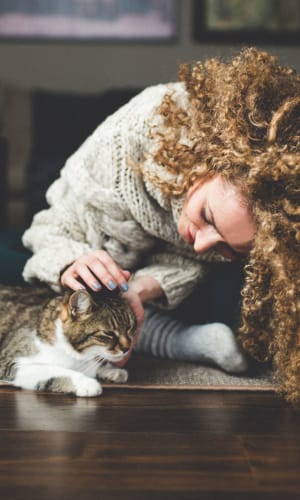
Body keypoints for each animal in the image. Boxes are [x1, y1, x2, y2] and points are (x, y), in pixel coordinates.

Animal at [0, 286, 137, 398]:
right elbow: (53, 370)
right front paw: (86, 383)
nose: (127, 348)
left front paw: (111, 370)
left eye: (130, 328)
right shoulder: (9, 363)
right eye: (108, 333)